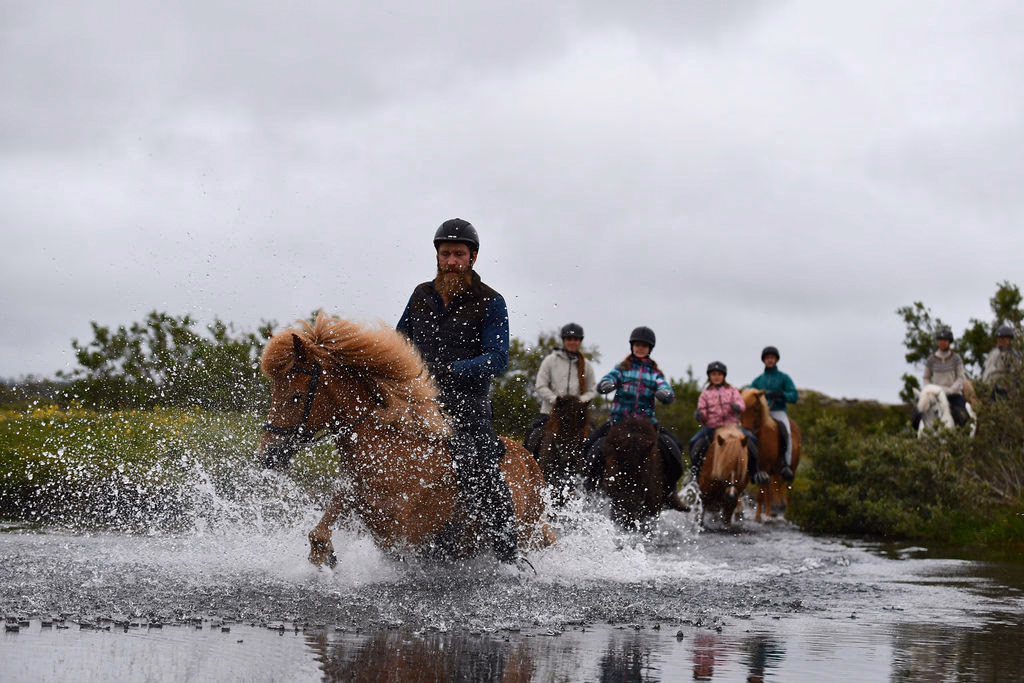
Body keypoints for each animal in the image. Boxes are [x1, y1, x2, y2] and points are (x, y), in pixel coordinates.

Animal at [255, 314, 555, 566]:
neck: (388, 453)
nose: (266, 456)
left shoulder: (403, 535)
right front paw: (325, 559)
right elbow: (320, 531)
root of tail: (530, 461)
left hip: (524, 531)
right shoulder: (354, 496)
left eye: (295, 396)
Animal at [740, 388, 802, 522]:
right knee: (769, 493)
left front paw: (757, 518)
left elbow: (760, 494)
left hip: (789, 472)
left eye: (756, 409)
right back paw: (768, 515)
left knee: (786, 494)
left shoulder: (765, 468)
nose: (746, 432)